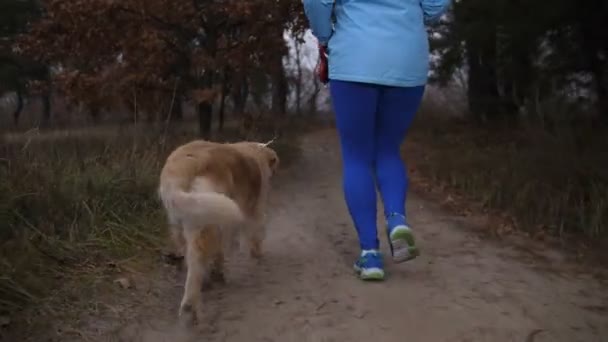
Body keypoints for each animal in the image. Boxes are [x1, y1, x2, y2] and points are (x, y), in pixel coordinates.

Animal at [157, 138, 280, 322]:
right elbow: (256, 232)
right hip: (209, 216)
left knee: (191, 256)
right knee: (200, 257)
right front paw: (256, 253)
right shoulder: (255, 210)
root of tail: (186, 161)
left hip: (184, 218)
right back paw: (193, 302)